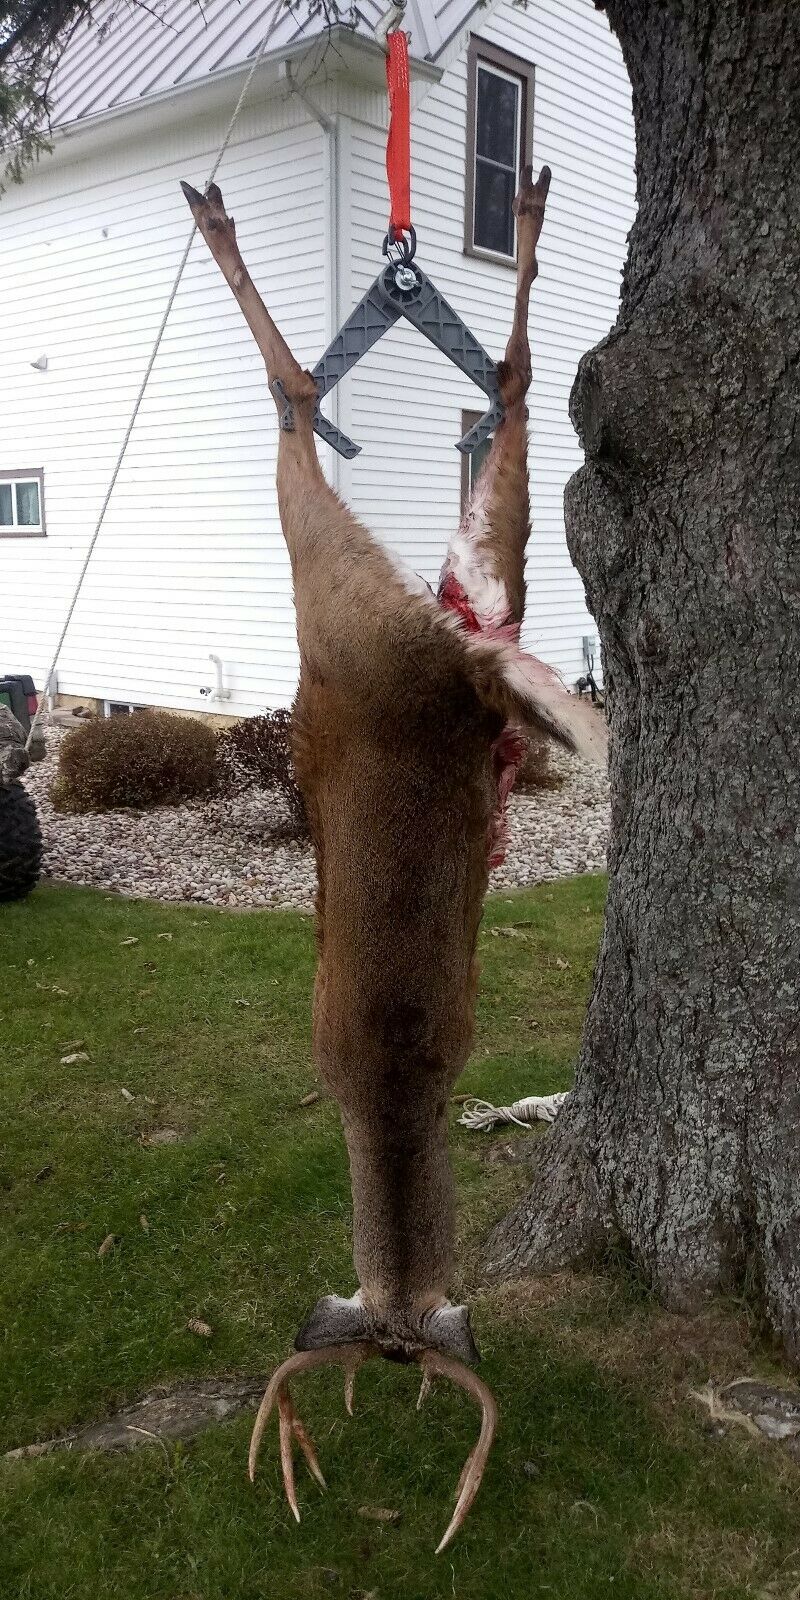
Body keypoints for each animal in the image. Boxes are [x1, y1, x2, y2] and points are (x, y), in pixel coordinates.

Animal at [181, 164, 605, 1552]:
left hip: (329, 590)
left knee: (300, 407)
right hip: (474, 567)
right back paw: (522, 215)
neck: (394, 1090)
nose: (398, 1358)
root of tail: (455, 661)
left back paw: (224, 225)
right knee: (508, 400)